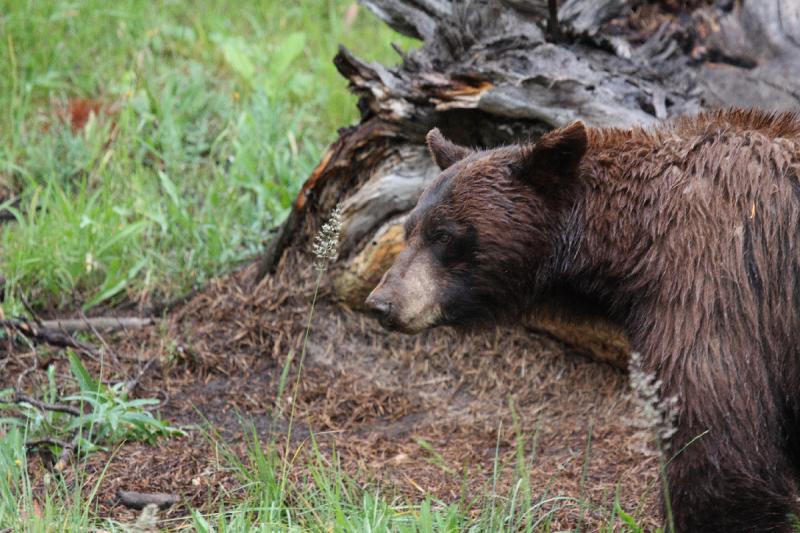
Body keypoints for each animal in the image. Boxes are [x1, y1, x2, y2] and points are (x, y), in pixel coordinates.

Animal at [366, 109, 800, 532]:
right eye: (409, 230)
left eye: (444, 235)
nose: (382, 303)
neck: (637, 239)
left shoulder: (717, 283)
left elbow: (714, 423)